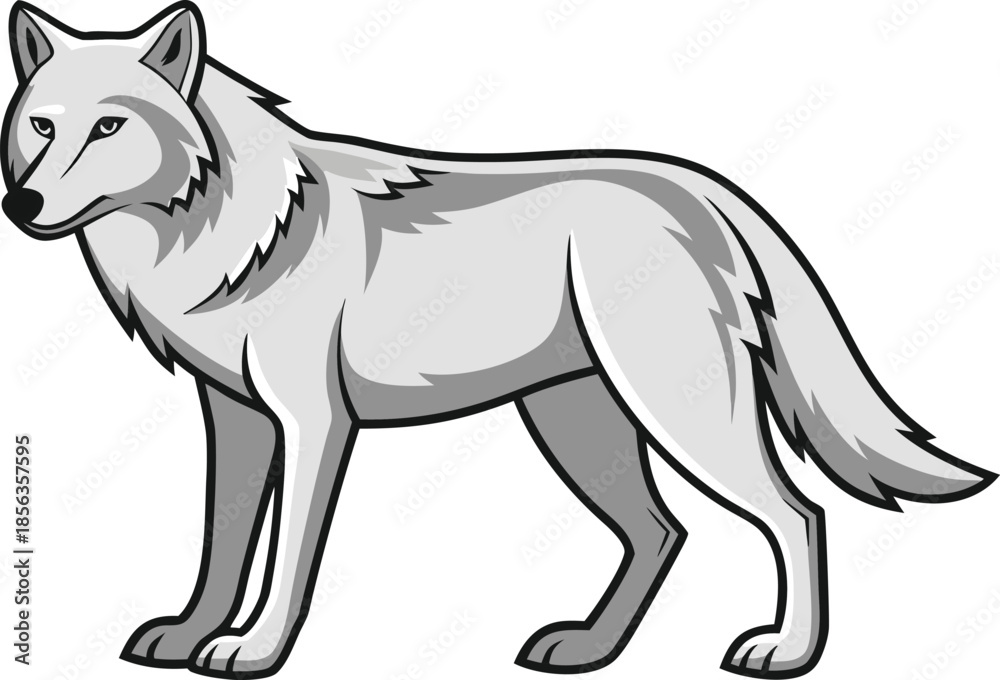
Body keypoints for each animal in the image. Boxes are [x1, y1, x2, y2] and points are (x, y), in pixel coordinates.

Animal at [3, 2, 994, 678]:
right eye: (42, 124)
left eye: (109, 125)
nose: (22, 204)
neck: (225, 225)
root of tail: (702, 185)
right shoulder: (234, 417)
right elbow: (222, 541)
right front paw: (188, 635)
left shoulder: (313, 423)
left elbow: (286, 556)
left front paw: (253, 650)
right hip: (575, 426)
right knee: (662, 532)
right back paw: (589, 648)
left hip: (676, 415)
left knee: (797, 512)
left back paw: (785, 652)